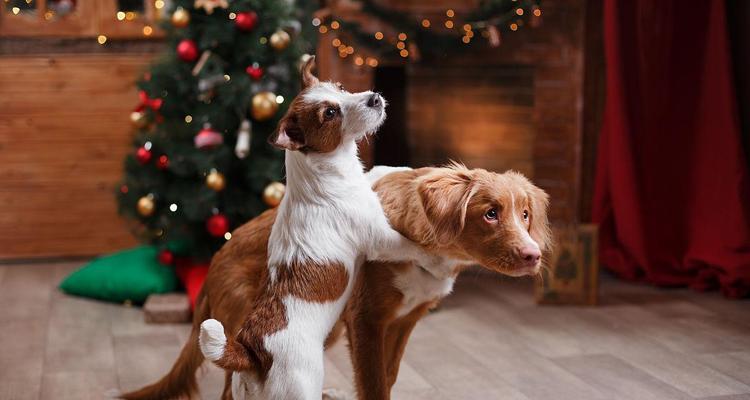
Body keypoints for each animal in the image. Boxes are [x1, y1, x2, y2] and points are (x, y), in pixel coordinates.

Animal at [120, 163, 548, 400]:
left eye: (525, 214)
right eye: (490, 213)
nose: (533, 256)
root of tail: (211, 267)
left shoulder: (405, 320)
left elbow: (389, 375)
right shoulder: (366, 320)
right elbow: (374, 385)